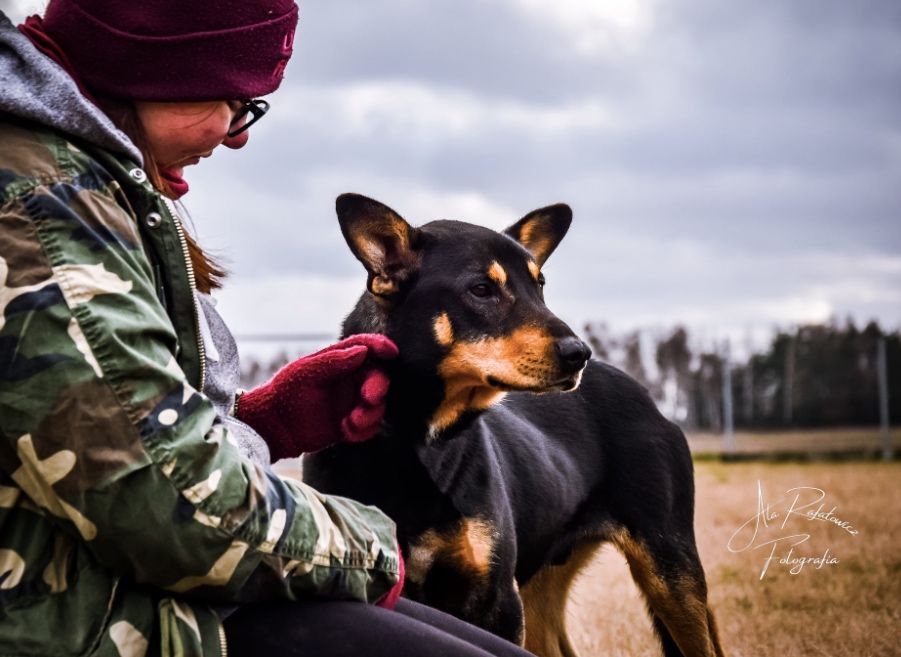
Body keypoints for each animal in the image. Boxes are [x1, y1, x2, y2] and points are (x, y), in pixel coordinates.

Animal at [302, 192, 724, 656]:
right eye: (481, 290)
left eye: (540, 286)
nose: (580, 354)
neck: (416, 439)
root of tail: (649, 398)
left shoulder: (496, 598)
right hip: (546, 586)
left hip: (670, 568)